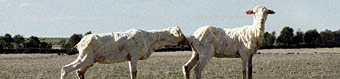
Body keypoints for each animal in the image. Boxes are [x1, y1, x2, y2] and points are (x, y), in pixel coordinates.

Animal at [59, 26, 187, 79]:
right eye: (180, 32)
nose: (186, 40)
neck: (150, 38)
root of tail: (80, 42)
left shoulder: (130, 58)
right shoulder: (134, 56)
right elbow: (134, 73)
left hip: (90, 61)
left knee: (79, 72)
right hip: (85, 58)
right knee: (66, 69)